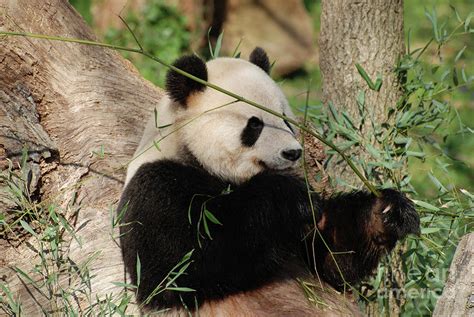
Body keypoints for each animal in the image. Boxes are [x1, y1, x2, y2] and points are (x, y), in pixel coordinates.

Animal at [117, 48, 418, 314]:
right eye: (255, 124)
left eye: (285, 119)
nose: (293, 152)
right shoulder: (156, 186)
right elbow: (185, 263)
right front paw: (286, 196)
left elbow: (330, 258)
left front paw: (387, 211)